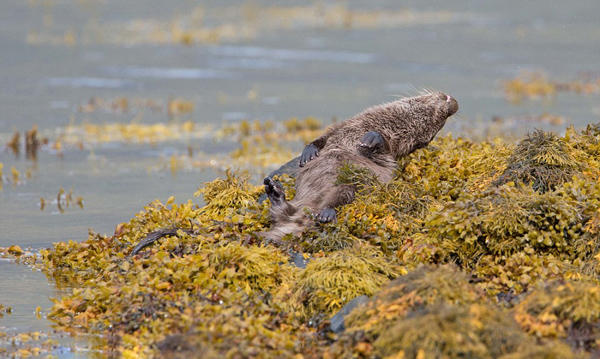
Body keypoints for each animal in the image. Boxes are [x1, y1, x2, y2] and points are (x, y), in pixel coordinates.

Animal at [262, 93, 460, 245]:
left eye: (434, 129)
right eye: (437, 117)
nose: (453, 105)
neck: (379, 124)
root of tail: (309, 210)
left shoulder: (390, 147)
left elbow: (384, 147)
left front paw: (372, 138)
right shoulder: (344, 125)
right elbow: (323, 136)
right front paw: (308, 153)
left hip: (350, 186)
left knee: (339, 198)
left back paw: (325, 214)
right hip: (300, 203)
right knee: (282, 214)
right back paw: (275, 193)